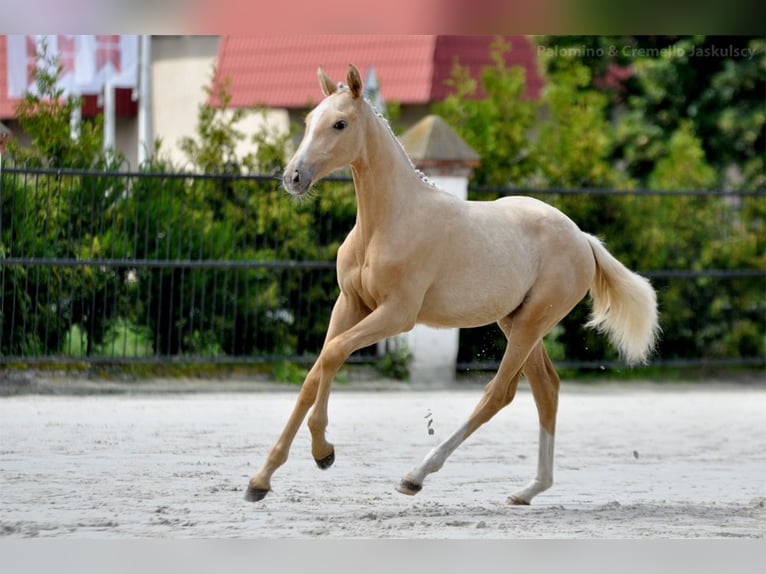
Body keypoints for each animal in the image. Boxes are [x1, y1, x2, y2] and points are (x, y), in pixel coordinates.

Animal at [244, 64, 659, 505]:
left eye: (340, 124)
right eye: (308, 121)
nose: (294, 177)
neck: (388, 222)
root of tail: (583, 239)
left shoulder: (397, 314)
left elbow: (334, 353)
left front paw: (323, 451)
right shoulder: (350, 303)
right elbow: (317, 369)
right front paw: (262, 478)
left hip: (531, 324)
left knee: (499, 392)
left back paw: (416, 475)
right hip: (516, 322)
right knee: (546, 388)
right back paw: (528, 490)